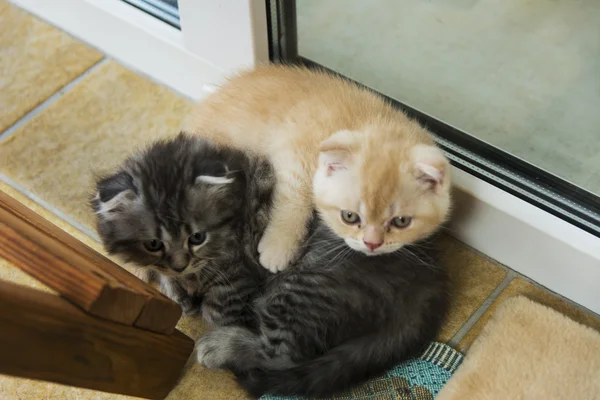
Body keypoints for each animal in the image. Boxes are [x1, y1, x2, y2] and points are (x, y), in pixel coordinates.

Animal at [91, 133, 272, 324]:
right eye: (153, 244)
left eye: (197, 237)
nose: (180, 267)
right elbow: (163, 272)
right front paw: (179, 295)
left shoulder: (239, 273)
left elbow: (217, 312)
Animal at [183, 65, 450, 272]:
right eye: (350, 216)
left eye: (401, 221)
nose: (372, 244)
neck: (370, 123)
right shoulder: (293, 155)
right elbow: (294, 200)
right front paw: (279, 247)